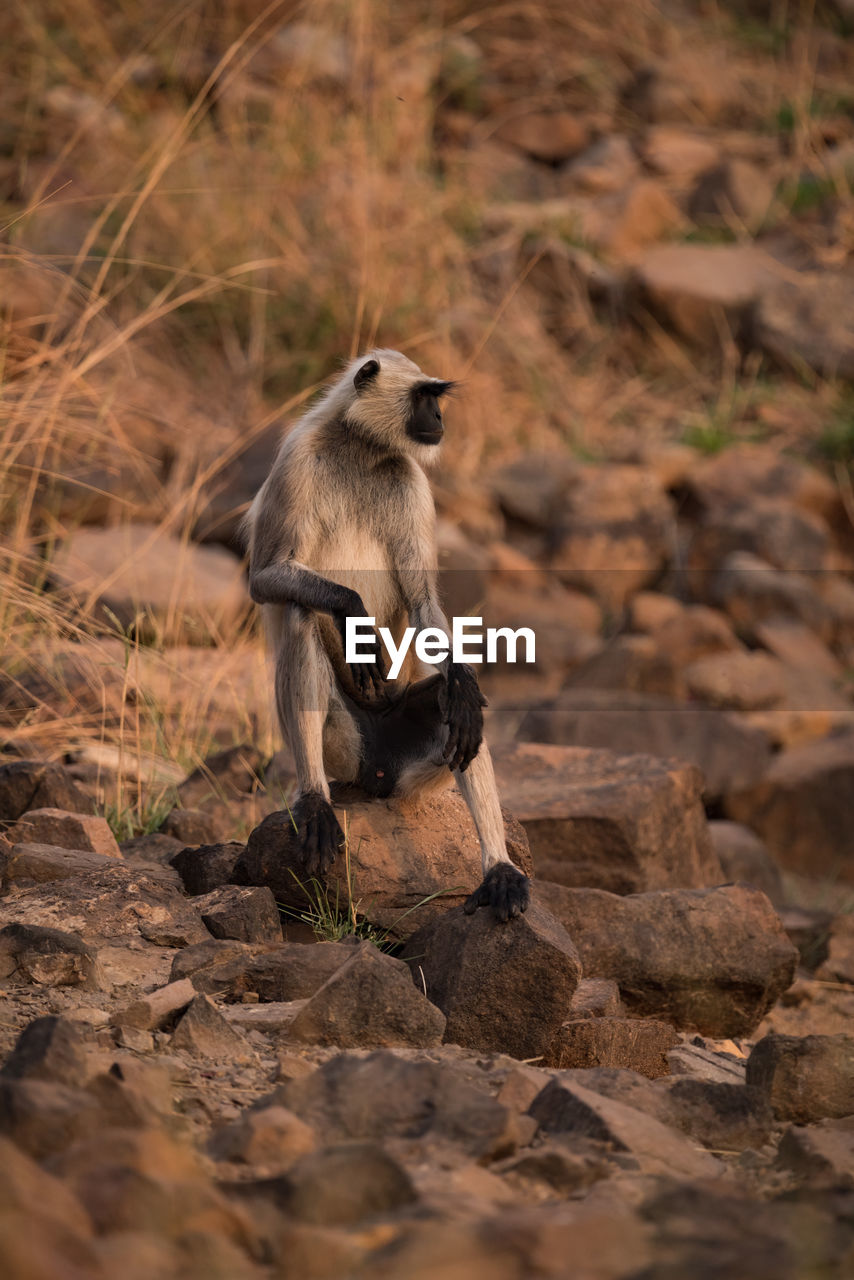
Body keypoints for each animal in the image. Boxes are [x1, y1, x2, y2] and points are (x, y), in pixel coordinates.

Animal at [243, 350, 530, 921]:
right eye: (425, 397)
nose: (440, 420)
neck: (359, 446)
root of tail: (374, 772)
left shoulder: (411, 480)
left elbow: (422, 603)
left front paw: (462, 680)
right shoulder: (296, 460)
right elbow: (266, 578)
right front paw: (353, 612)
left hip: (404, 756)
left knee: (457, 708)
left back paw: (499, 869)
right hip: (343, 747)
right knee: (302, 612)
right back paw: (315, 800)